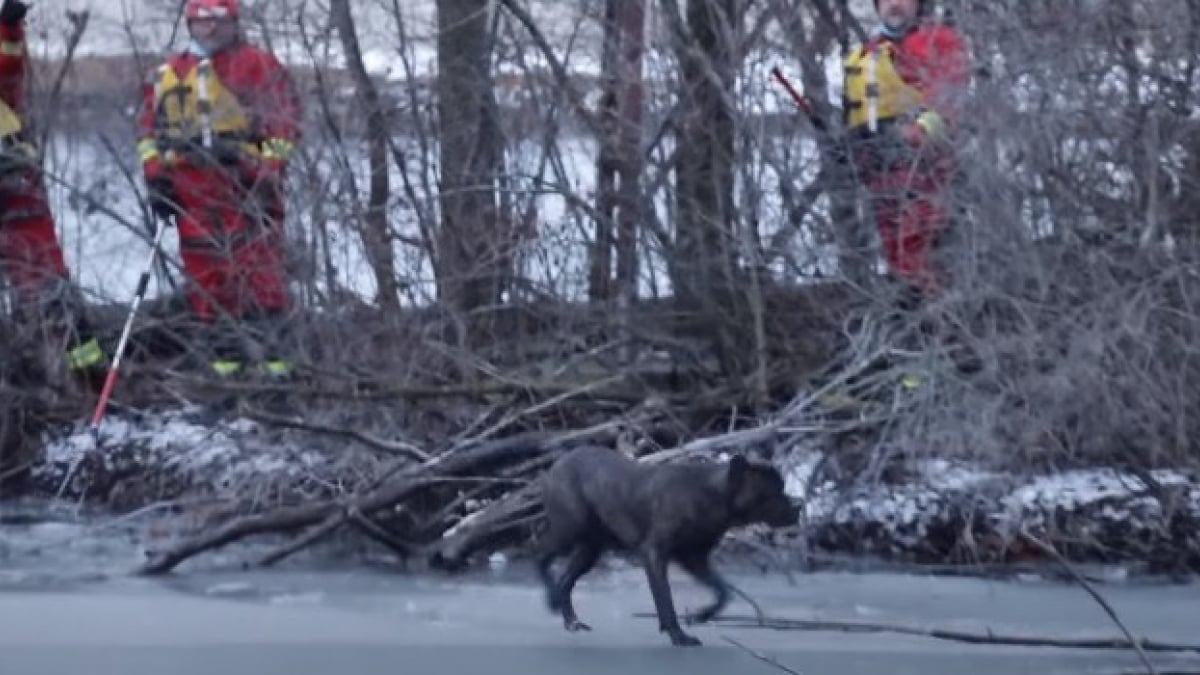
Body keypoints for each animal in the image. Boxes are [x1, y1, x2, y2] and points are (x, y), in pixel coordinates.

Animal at [535, 444, 796, 643]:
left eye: (782, 487)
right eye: (772, 493)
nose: (797, 506)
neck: (714, 496)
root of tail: (559, 462)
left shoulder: (695, 558)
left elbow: (722, 590)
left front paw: (701, 615)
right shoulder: (655, 553)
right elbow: (665, 598)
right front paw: (678, 635)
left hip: (590, 548)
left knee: (566, 580)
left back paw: (570, 619)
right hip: (570, 529)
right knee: (541, 552)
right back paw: (550, 595)